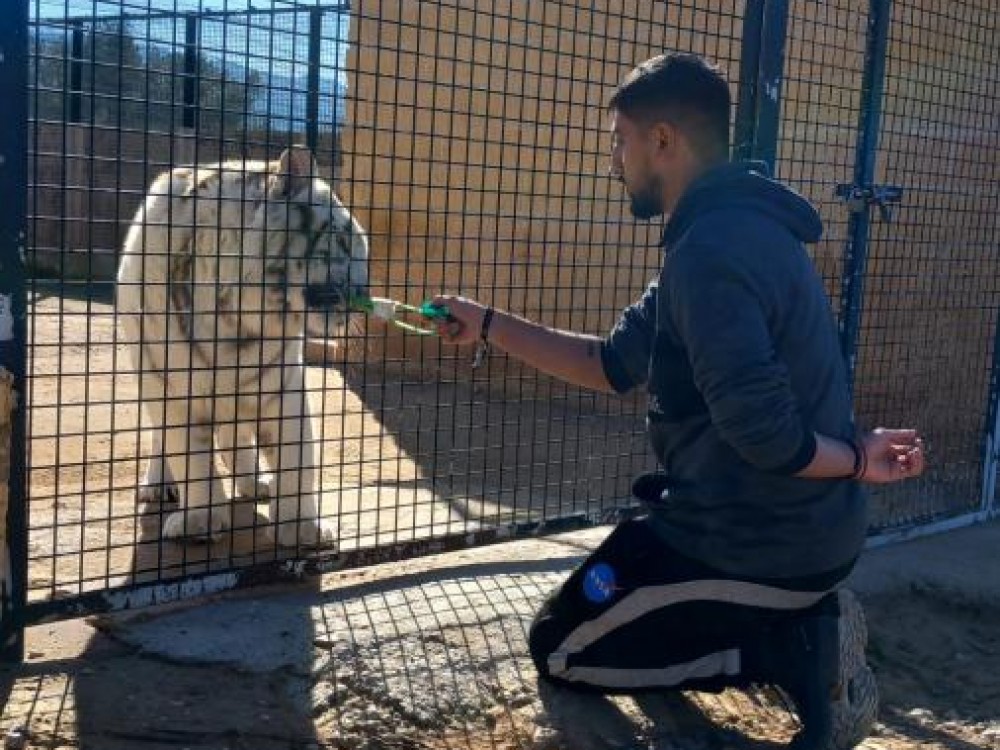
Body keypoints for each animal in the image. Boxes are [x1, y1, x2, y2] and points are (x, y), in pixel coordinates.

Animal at [116, 146, 369, 548]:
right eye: (345, 242)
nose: (365, 295)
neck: (234, 321)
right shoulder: (171, 387)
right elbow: (190, 458)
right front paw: (200, 521)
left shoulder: (281, 387)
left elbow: (298, 461)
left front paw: (302, 527)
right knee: (161, 437)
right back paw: (159, 484)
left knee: (237, 437)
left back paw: (256, 483)